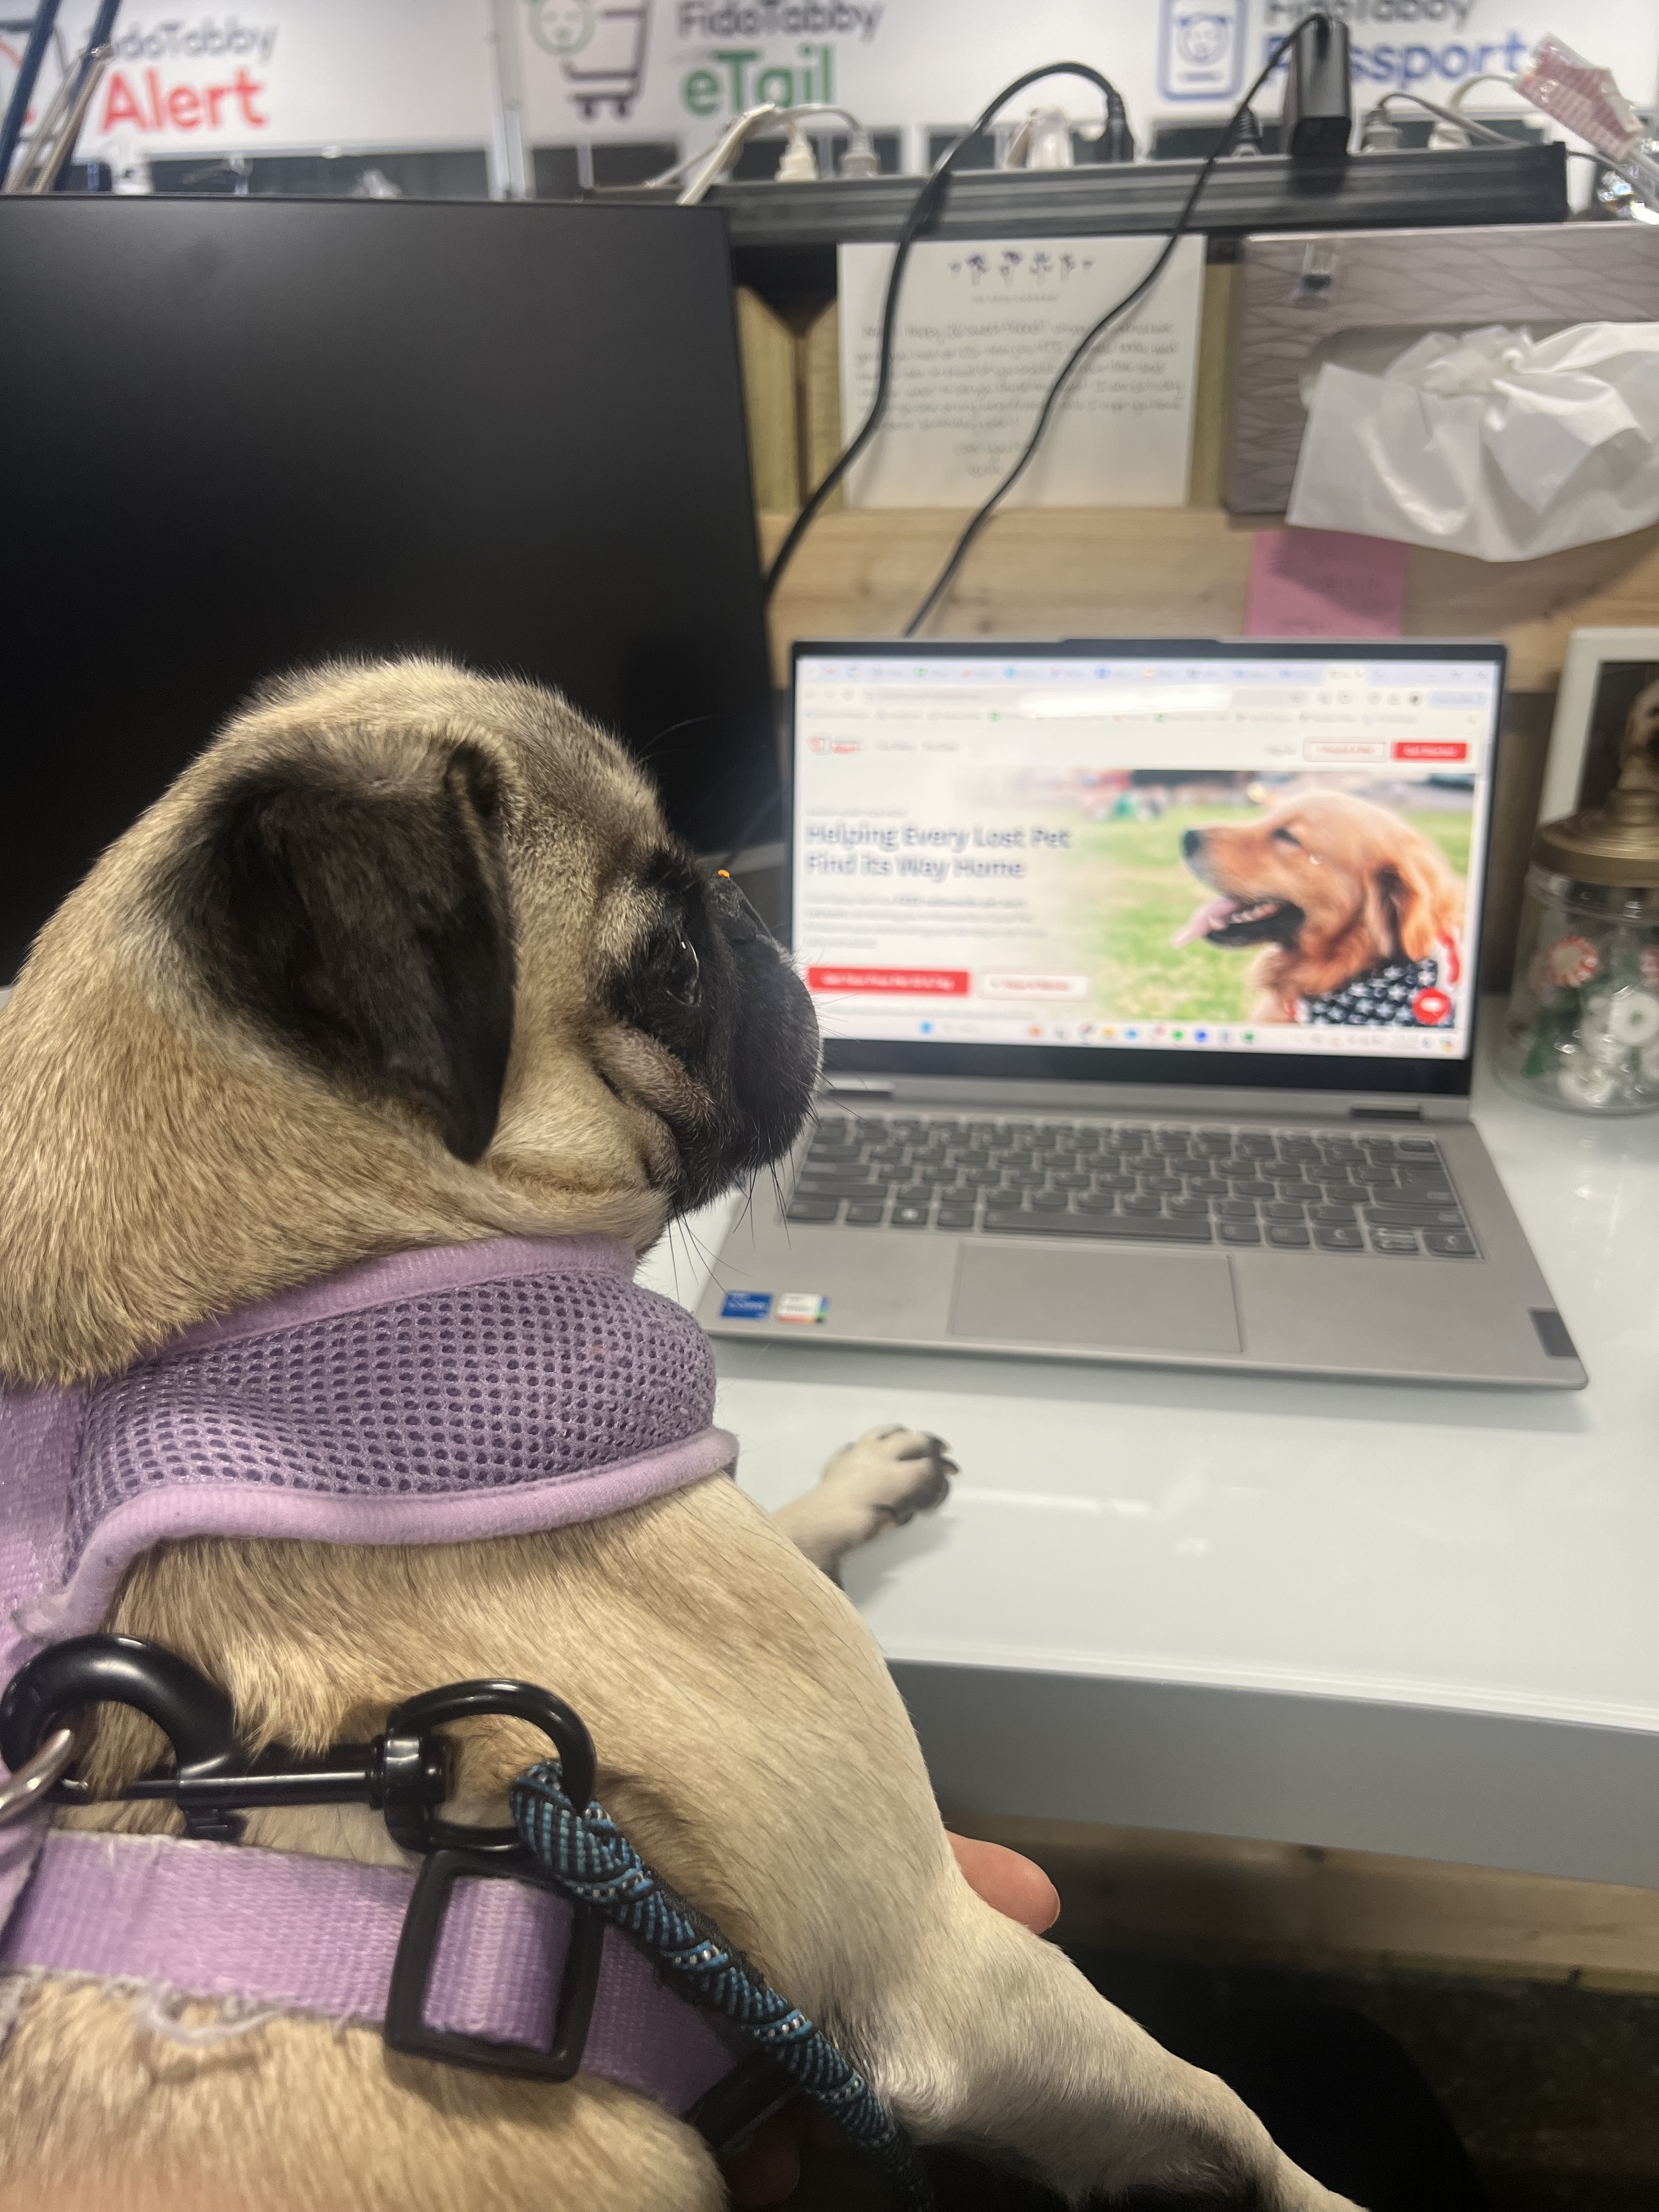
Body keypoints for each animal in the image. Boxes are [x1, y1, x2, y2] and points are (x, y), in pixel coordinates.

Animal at [0, 660, 1355, 2211]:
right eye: (673, 973)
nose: (742, 904)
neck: (297, 1309)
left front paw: (855, 1484)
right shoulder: (943, 1963)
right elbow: (1222, 2110)